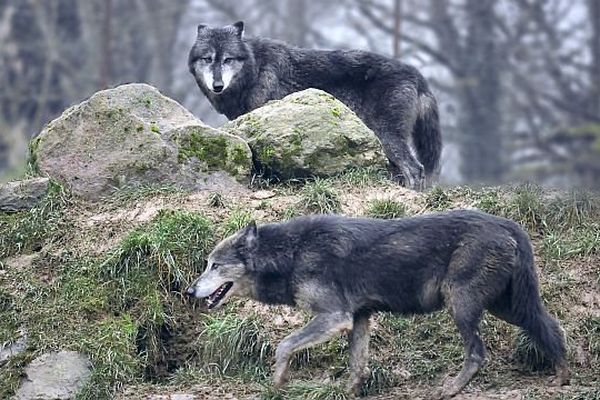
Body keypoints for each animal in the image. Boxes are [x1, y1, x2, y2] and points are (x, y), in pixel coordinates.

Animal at [188, 21, 440, 191]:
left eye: (227, 59)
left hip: (388, 137)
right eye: (207, 59)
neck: (255, 69)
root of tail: (417, 75)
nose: (217, 85)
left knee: (415, 170)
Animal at [188, 209, 572, 396]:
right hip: (508, 308)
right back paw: (561, 376)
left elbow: (284, 345)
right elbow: (357, 366)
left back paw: (450, 390)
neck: (293, 253)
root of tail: (508, 224)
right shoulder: (359, 318)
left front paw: (277, 384)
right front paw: (348, 393)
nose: (190, 292)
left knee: (478, 352)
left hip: (462, 306)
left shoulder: (335, 317)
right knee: (551, 328)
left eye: (214, 265)